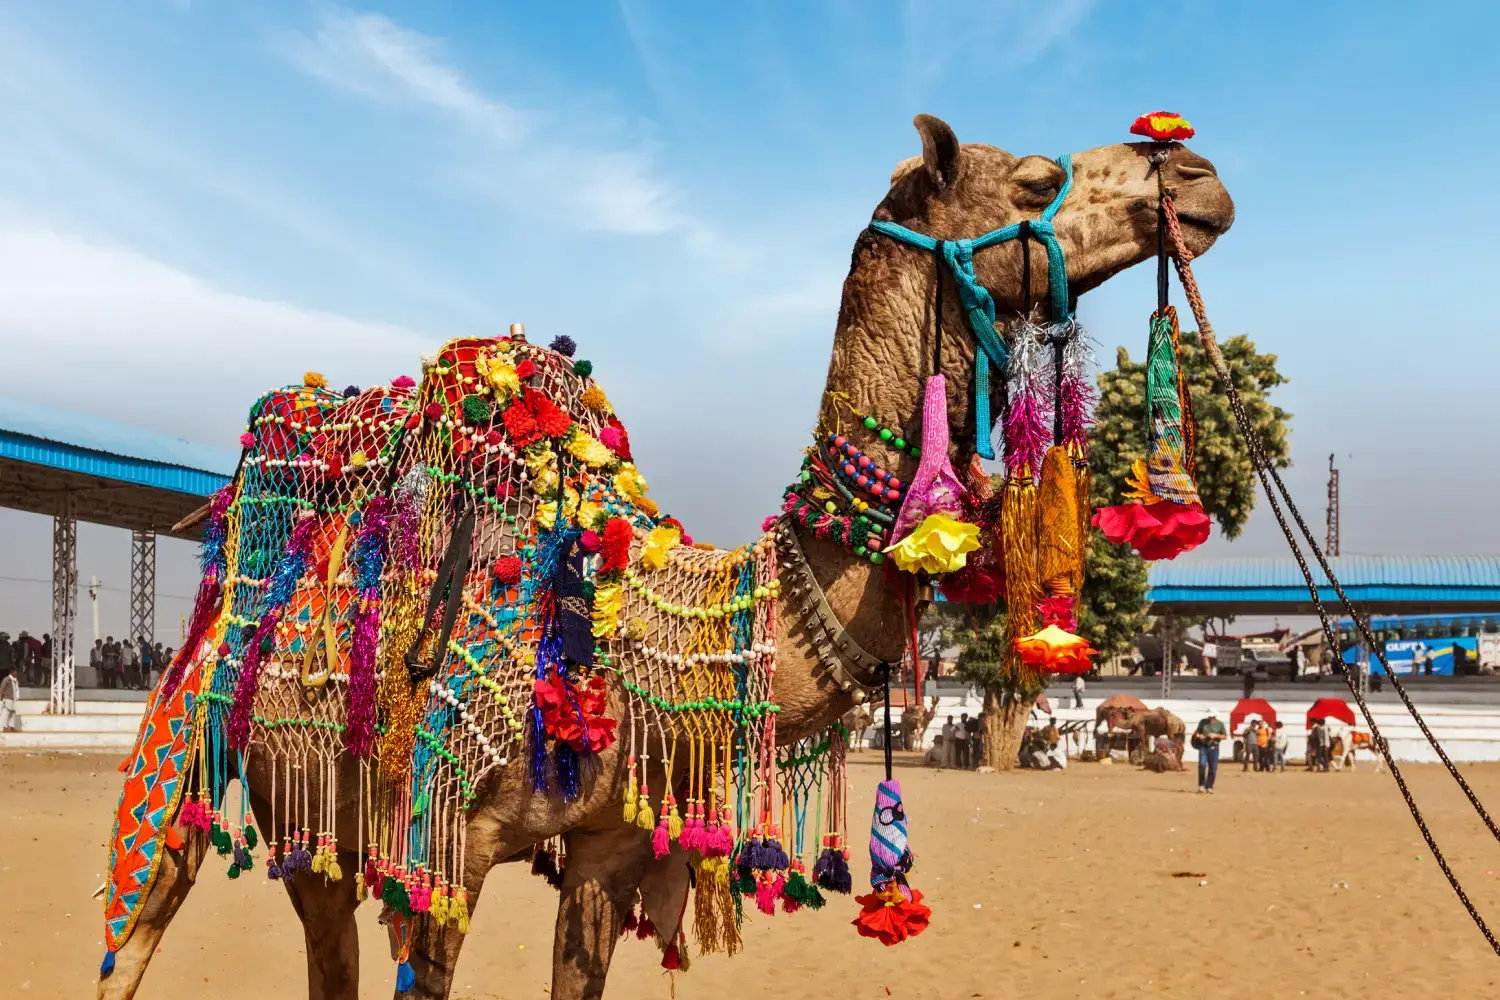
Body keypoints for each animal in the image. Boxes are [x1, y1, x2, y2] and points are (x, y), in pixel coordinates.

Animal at [102, 113, 1230, 995]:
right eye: (1038, 178)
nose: (1196, 174)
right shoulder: (446, 847)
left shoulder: (608, 846)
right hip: (215, 761)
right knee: (142, 919)